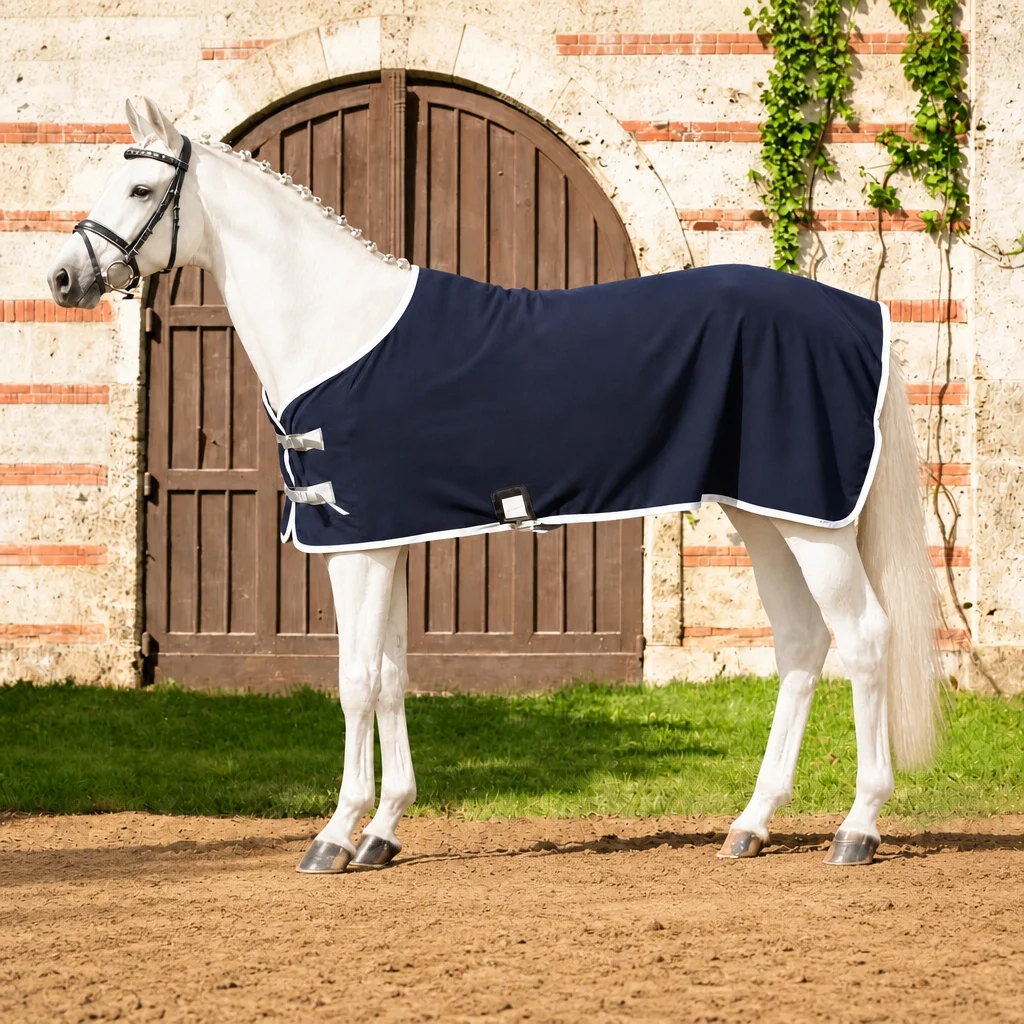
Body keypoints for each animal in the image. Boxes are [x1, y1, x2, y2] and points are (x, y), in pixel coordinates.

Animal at [47, 97, 942, 872]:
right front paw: (384, 831)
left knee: (865, 638)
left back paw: (858, 828)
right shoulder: (390, 540)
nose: (61, 279)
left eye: (142, 188)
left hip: (815, 526)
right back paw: (751, 825)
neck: (337, 326)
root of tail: (862, 316)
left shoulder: (353, 547)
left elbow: (354, 682)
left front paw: (334, 836)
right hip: (767, 515)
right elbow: (394, 677)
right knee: (802, 646)